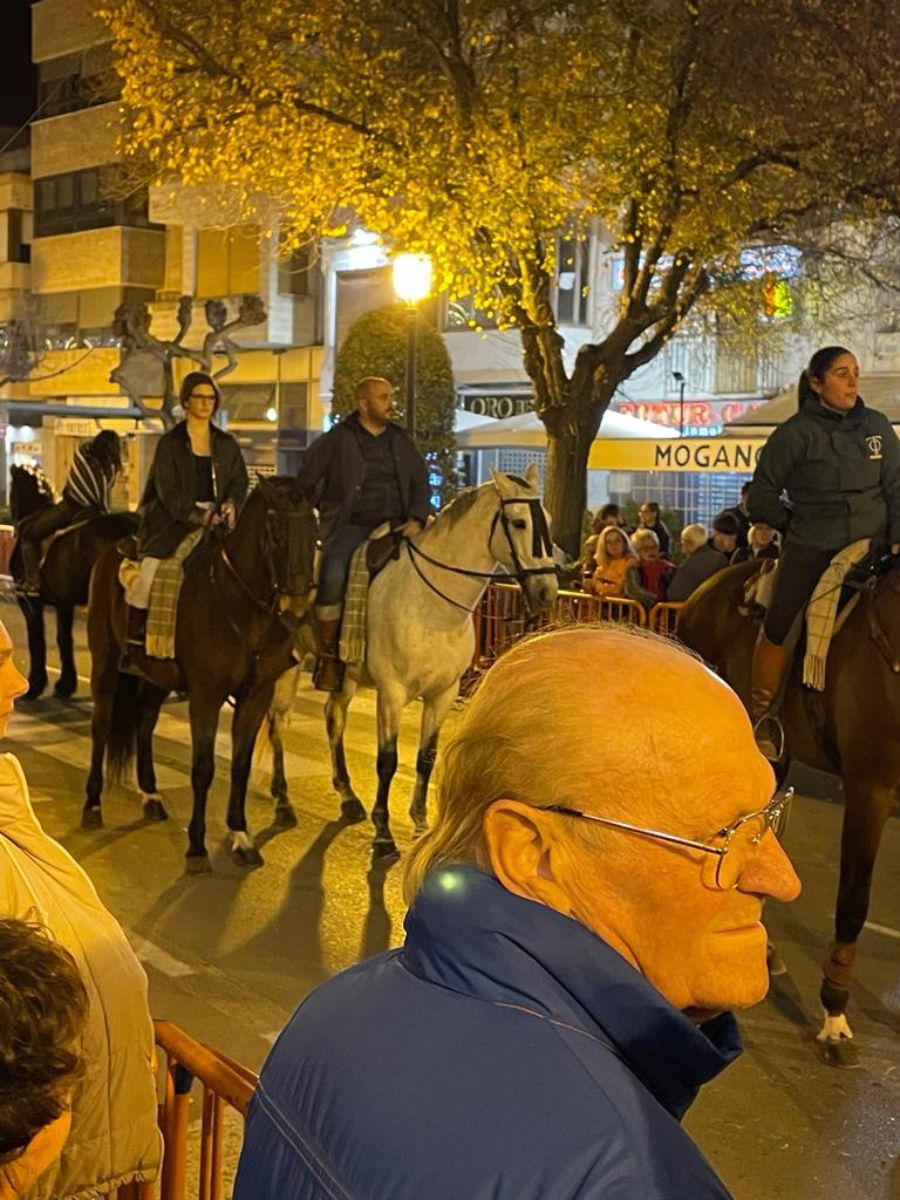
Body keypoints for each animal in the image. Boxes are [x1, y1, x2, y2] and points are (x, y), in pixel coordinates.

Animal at [9, 463, 139, 700]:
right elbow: (64, 639)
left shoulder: (29, 601)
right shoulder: (64, 603)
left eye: (13, 489)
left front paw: (35, 685)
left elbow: (36, 638)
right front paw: (65, 685)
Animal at [84, 477, 316, 873]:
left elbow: (240, 765)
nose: (298, 605)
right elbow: (203, 769)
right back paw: (93, 804)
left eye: (315, 531)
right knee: (101, 724)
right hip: (105, 660)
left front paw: (240, 835)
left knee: (144, 721)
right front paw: (196, 846)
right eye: (276, 533)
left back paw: (151, 794)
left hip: (157, 676)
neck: (242, 605)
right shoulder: (206, 696)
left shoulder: (257, 697)